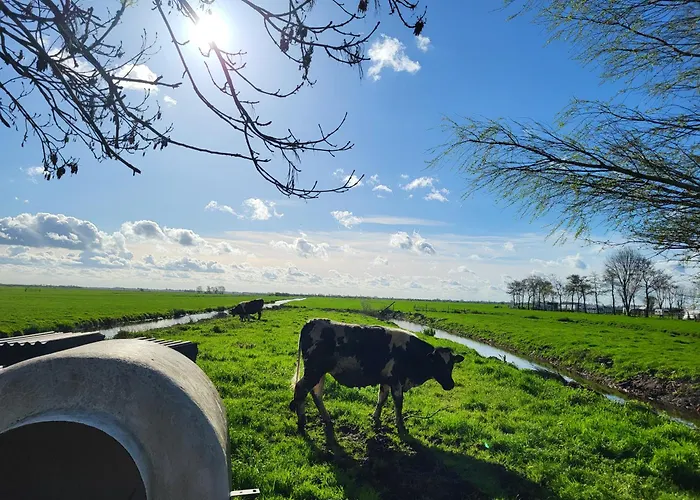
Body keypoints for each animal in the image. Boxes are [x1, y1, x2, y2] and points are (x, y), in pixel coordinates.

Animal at [289, 318, 464, 437]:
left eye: (451, 365)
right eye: (438, 364)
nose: (450, 384)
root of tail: (313, 321)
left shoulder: (386, 380)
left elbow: (382, 398)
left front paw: (376, 417)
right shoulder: (397, 381)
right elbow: (398, 403)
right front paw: (400, 425)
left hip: (320, 372)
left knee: (316, 393)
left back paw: (326, 418)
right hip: (314, 371)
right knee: (301, 389)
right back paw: (302, 422)